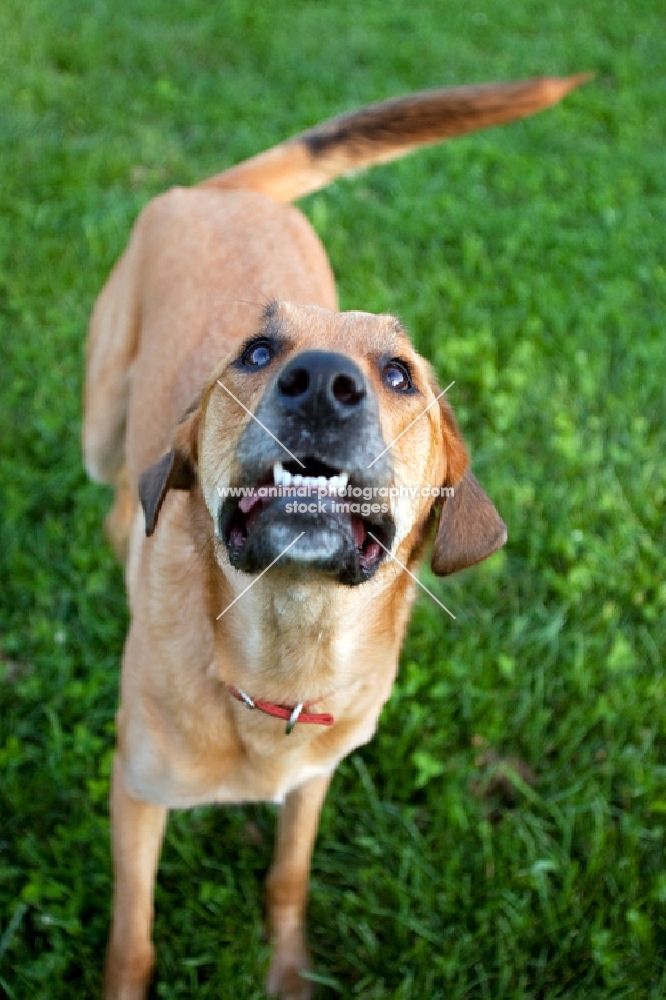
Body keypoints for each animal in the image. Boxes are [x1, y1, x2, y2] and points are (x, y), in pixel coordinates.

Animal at [83, 74, 588, 996]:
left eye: (399, 375)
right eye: (254, 352)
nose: (321, 382)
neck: (287, 649)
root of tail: (222, 193)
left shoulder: (315, 781)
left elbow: (288, 877)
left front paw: (288, 971)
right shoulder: (134, 795)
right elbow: (132, 938)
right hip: (99, 423)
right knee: (117, 494)